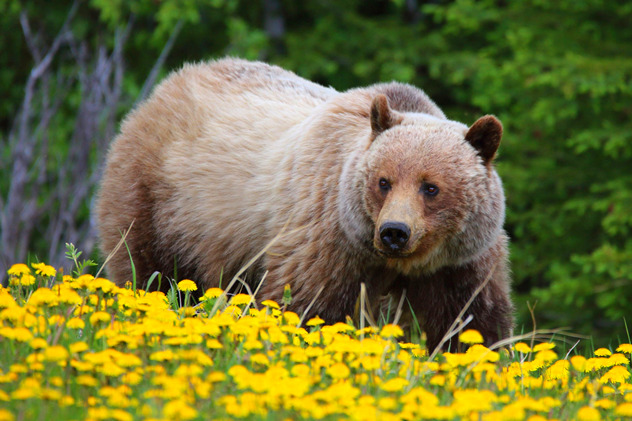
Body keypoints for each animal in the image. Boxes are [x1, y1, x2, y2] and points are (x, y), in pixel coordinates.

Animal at [99, 56, 512, 352]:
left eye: (431, 187)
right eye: (384, 181)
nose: (395, 232)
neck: (399, 264)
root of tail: (169, 83)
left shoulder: (460, 264)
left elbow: (471, 323)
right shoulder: (329, 237)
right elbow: (305, 305)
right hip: (163, 198)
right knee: (149, 269)